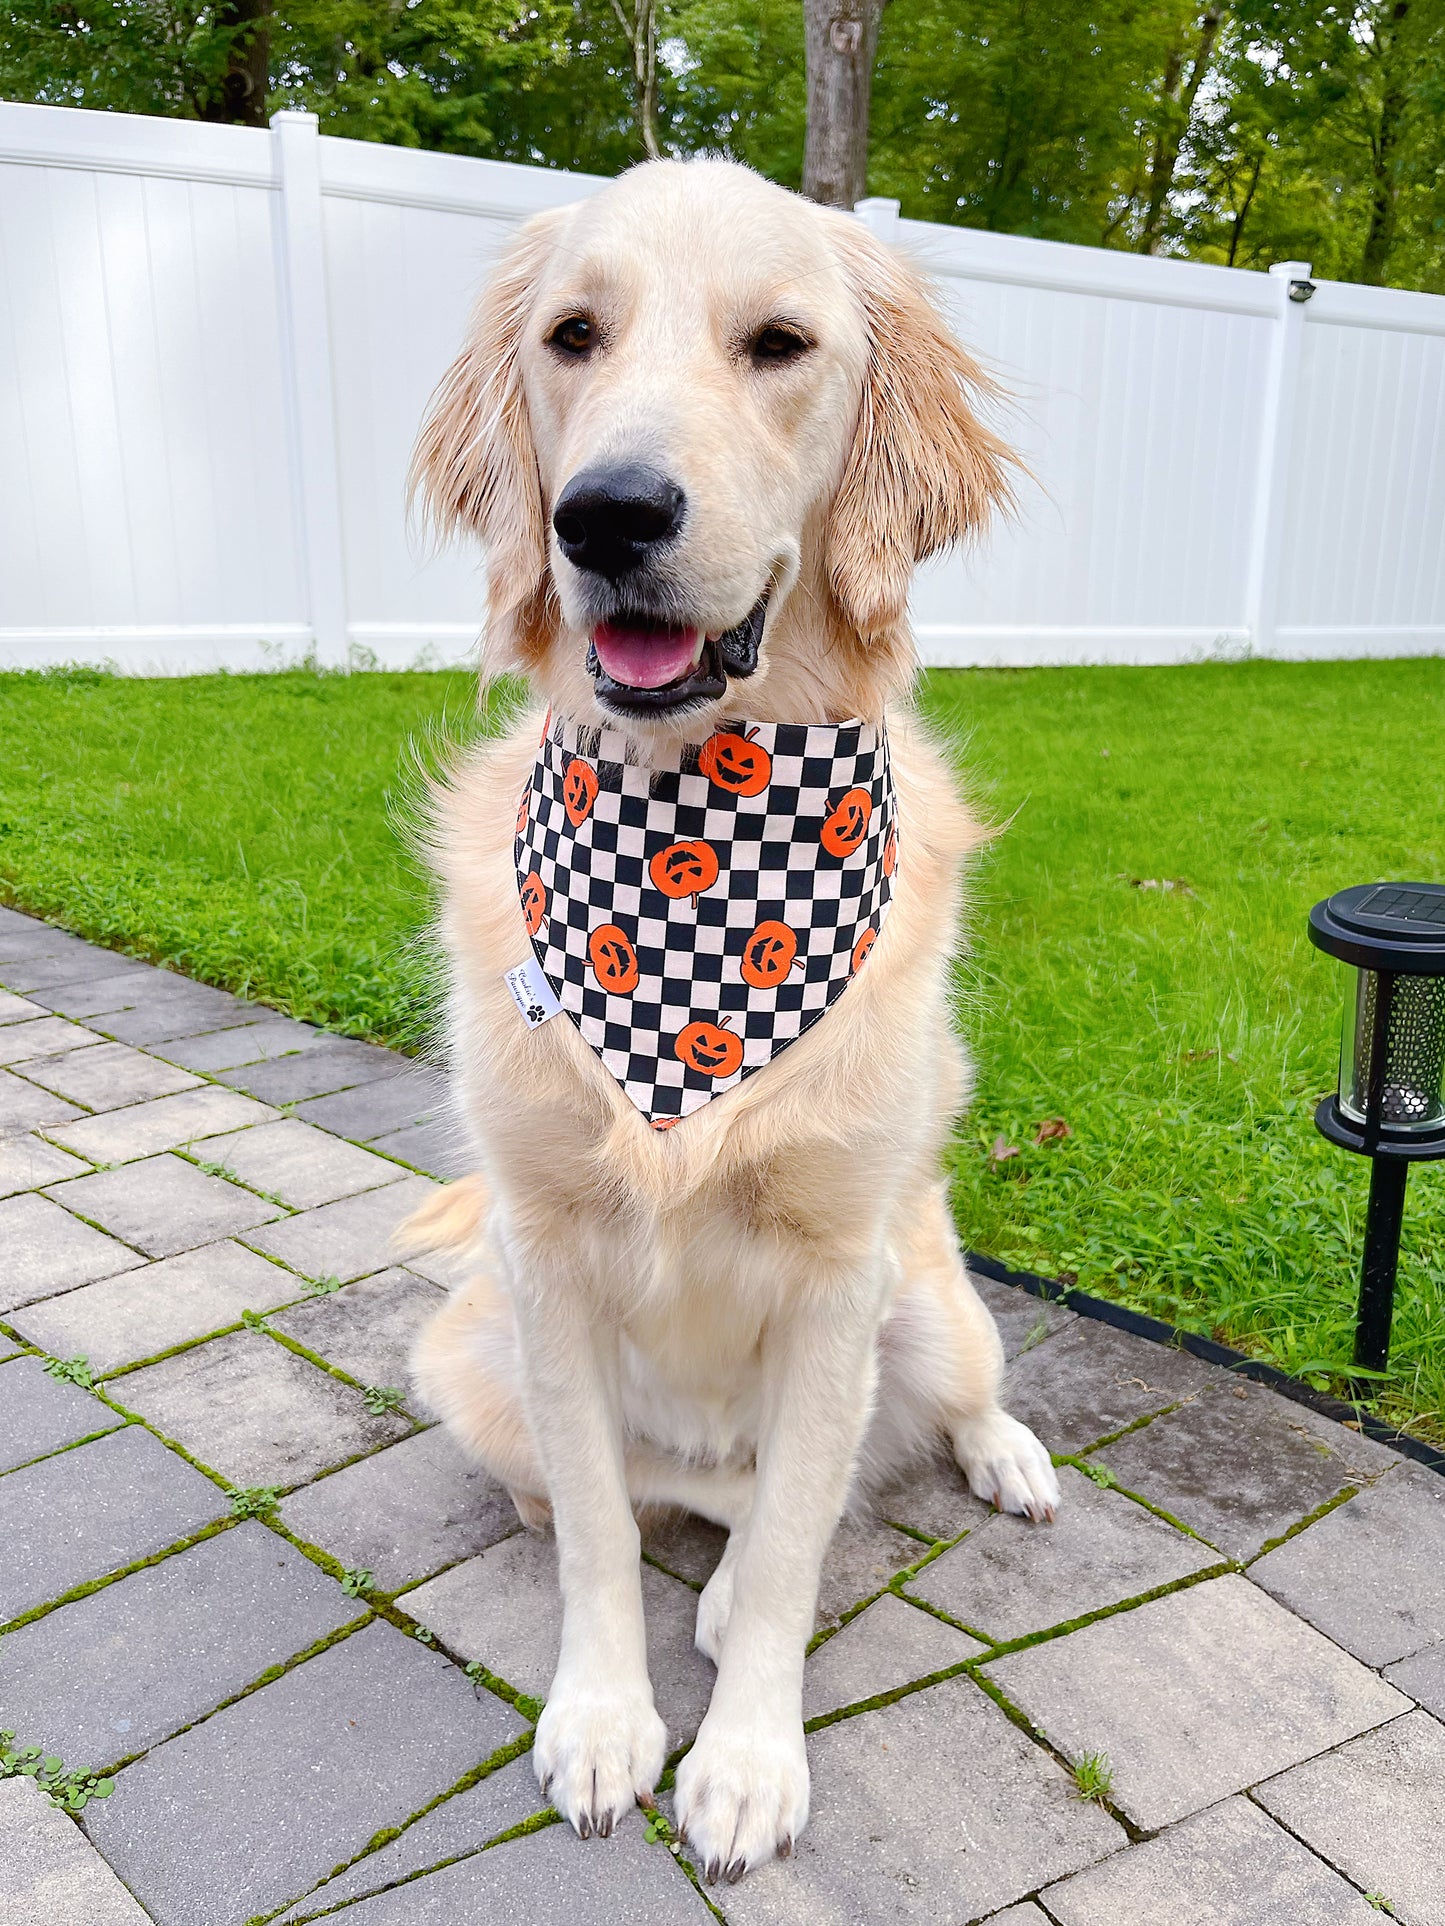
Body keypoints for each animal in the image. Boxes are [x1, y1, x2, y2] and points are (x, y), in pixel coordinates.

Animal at [408, 161, 1063, 1879]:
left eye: (779, 343)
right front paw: (601, 1721)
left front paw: (749, 1761)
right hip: (466, 1353)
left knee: (870, 1454)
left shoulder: (838, 1273)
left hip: (931, 1302)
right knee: (666, 1504)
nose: (605, 514)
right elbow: (596, 1531)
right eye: (574, 335)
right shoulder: (543, 1259)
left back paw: (1008, 1459)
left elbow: (781, 1555)